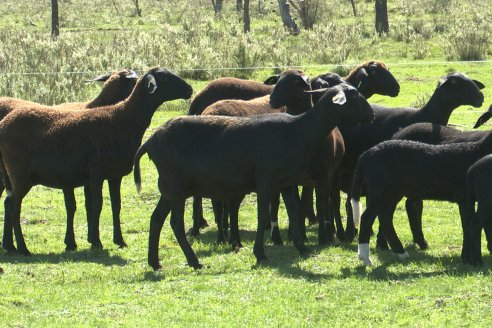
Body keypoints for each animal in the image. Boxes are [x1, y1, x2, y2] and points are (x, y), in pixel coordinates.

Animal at [0, 68, 192, 255]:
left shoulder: (114, 175)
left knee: (9, 203)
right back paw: (23, 249)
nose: (189, 89)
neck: (123, 119)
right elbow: (96, 205)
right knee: (14, 208)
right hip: (19, 173)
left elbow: (116, 205)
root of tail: (4, 124)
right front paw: (95, 241)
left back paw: (10, 246)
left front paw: (119, 240)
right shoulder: (96, 173)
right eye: (164, 78)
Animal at [134, 82, 372, 270]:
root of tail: (149, 142)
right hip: (175, 186)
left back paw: (154, 262)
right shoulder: (266, 180)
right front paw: (260, 253)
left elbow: (294, 212)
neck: (299, 131)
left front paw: (302, 247)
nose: (371, 115)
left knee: (156, 219)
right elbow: (263, 216)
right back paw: (194, 261)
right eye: (355, 97)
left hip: (169, 188)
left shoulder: (286, 182)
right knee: (175, 223)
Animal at [352, 133, 492, 266]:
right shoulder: (464, 198)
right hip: (382, 190)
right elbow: (467, 225)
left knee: (381, 219)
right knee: (370, 218)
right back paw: (370, 257)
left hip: (389, 193)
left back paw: (391, 254)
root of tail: (366, 154)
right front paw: (467, 257)